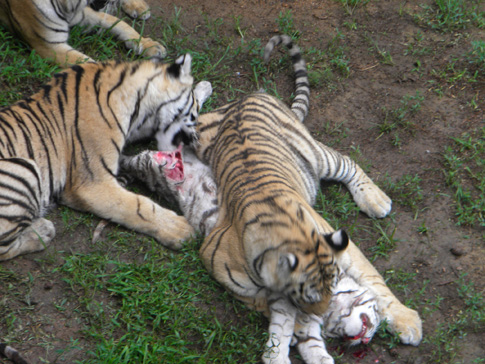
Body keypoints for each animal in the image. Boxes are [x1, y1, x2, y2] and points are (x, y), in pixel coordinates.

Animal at [0, 54, 212, 262]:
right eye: (194, 116)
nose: (195, 140)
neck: (139, 107)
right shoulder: (93, 184)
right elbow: (138, 206)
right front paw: (180, 229)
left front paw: (204, 86)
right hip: (25, 169)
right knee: (5, 248)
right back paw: (43, 231)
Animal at [119, 34, 422, 364]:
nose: (366, 334)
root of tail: (243, 99)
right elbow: (292, 324)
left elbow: (374, 280)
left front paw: (406, 321)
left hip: (313, 156)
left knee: (348, 162)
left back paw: (375, 200)